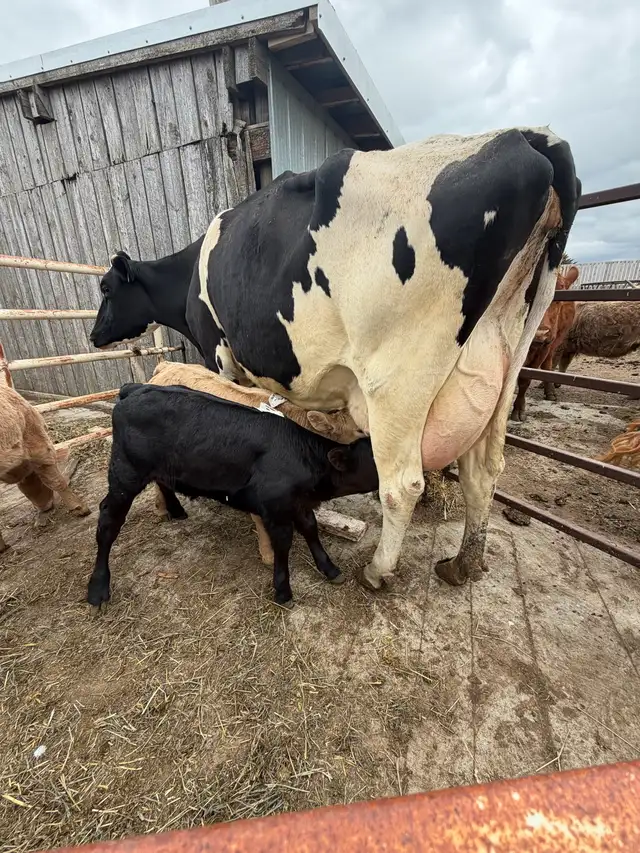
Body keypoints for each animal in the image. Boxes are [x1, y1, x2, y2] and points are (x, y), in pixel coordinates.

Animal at [86, 383, 379, 608]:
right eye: (376, 458)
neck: (305, 455)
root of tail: (135, 388)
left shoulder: (300, 504)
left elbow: (311, 529)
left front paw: (329, 568)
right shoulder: (275, 508)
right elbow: (284, 543)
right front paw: (283, 590)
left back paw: (176, 510)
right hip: (125, 475)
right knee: (108, 521)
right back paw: (98, 588)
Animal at [511, 265, 579, 422]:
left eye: (557, 300)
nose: (540, 333)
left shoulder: (543, 349)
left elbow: (525, 379)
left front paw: (518, 410)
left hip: (553, 345)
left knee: (548, 365)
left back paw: (550, 392)